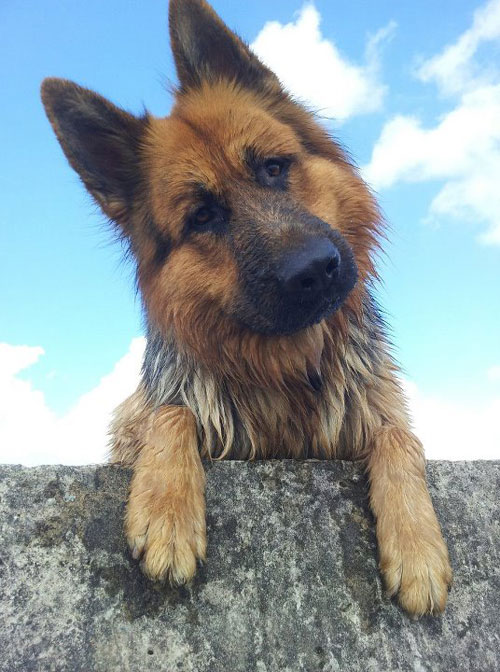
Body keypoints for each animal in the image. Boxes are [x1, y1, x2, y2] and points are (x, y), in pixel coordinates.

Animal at [40, 0, 454, 616]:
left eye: (274, 168)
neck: (288, 371)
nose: (315, 270)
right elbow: (172, 411)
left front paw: (418, 544)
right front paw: (167, 512)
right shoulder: (157, 412)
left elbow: (398, 435)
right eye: (203, 216)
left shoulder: (376, 410)